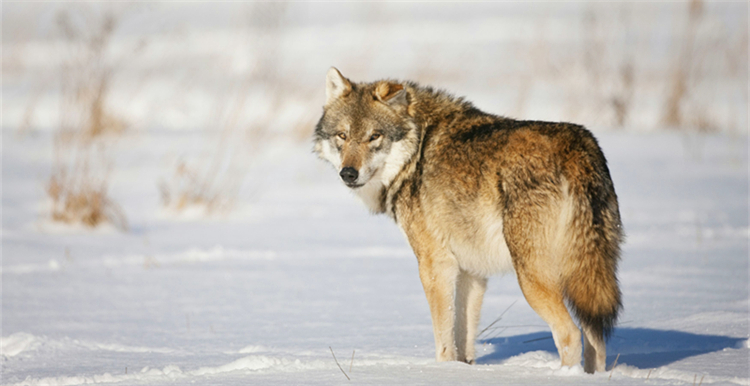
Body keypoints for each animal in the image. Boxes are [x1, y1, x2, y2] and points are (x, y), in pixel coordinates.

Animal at [312, 67, 624, 374]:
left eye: (374, 136)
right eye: (342, 136)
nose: (348, 173)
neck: (416, 153)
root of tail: (576, 147)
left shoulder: (435, 265)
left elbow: (443, 339)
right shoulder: (471, 272)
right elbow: (463, 339)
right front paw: (463, 372)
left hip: (532, 279)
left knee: (569, 334)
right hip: (589, 278)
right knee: (596, 339)